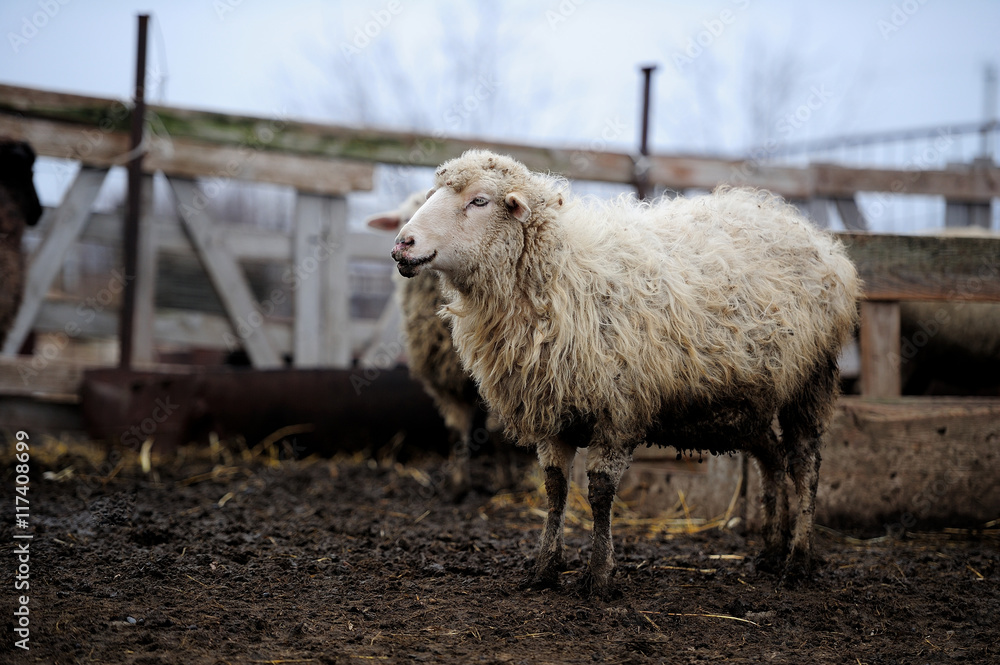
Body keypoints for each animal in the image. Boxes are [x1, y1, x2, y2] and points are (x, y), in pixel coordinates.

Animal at [391, 150, 861, 598]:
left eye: (480, 201)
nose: (402, 245)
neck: (563, 274)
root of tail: (812, 234)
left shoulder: (617, 412)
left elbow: (600, 493)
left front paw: (600, 576)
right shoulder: (553, 411)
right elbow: (555, 488)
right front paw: (544, 570)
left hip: (811, 380)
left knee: (805, 465)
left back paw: (797, 560)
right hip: (748, 402)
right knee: (771, 458)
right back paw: (770, 551)